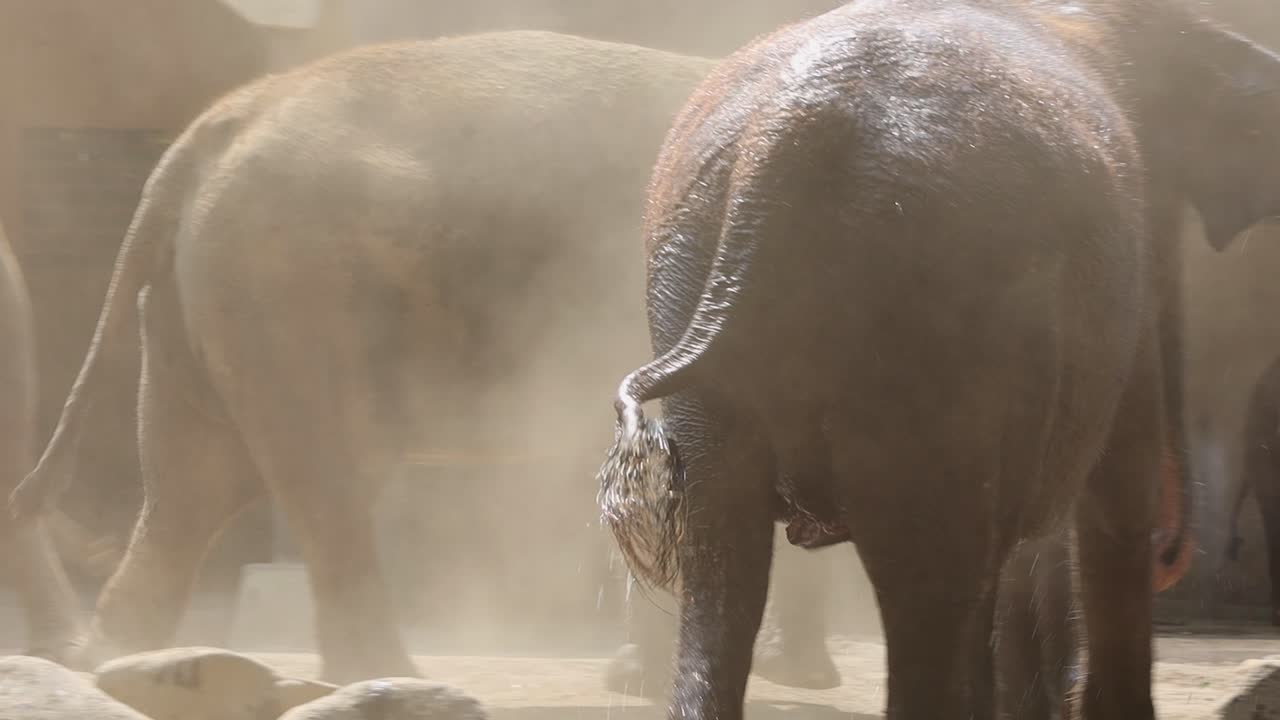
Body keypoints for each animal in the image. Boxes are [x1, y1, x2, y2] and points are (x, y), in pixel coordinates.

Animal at [5, 29, 731, 684]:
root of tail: (213, 129)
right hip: (293, 294)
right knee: (322, 476)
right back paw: (383, 675)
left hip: (204, 301)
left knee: (189, 480)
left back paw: (119, 664)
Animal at [593, 0, 1272, 718]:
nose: (1178, 558)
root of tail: (787, 138)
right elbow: (1118, 490)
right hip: (927, 312)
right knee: (926, 584)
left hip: (695, 269)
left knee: (722, 556)